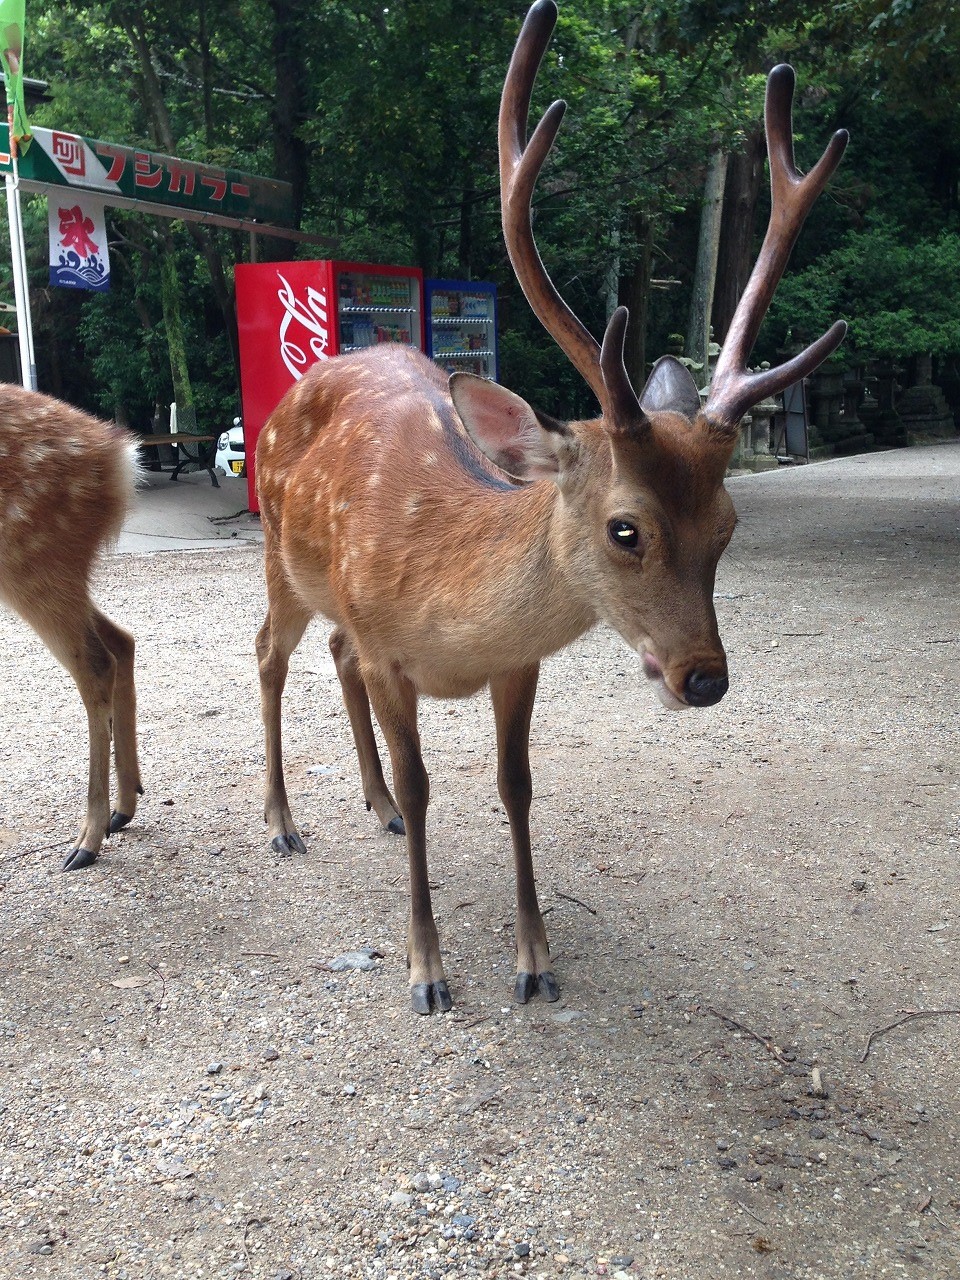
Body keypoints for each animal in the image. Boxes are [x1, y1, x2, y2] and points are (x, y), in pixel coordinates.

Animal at [0, 384, 142, 870]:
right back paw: (123, 808)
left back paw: (87, 840)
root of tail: (118, 455)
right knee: (121, 639)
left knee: (97, 662)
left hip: (33, 558)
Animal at [256, 2, 849, 1018]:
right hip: (275, 553)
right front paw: (427, 971)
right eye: (626, 528)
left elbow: (518, 785)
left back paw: (371, 807)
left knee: (330, 656)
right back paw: (284, 823)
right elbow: (427, 785)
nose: (705, 678)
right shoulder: (389, 649)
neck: (451, 615)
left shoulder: (516, 662)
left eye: (728, 528)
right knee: (270, 654)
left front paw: (536, 960)